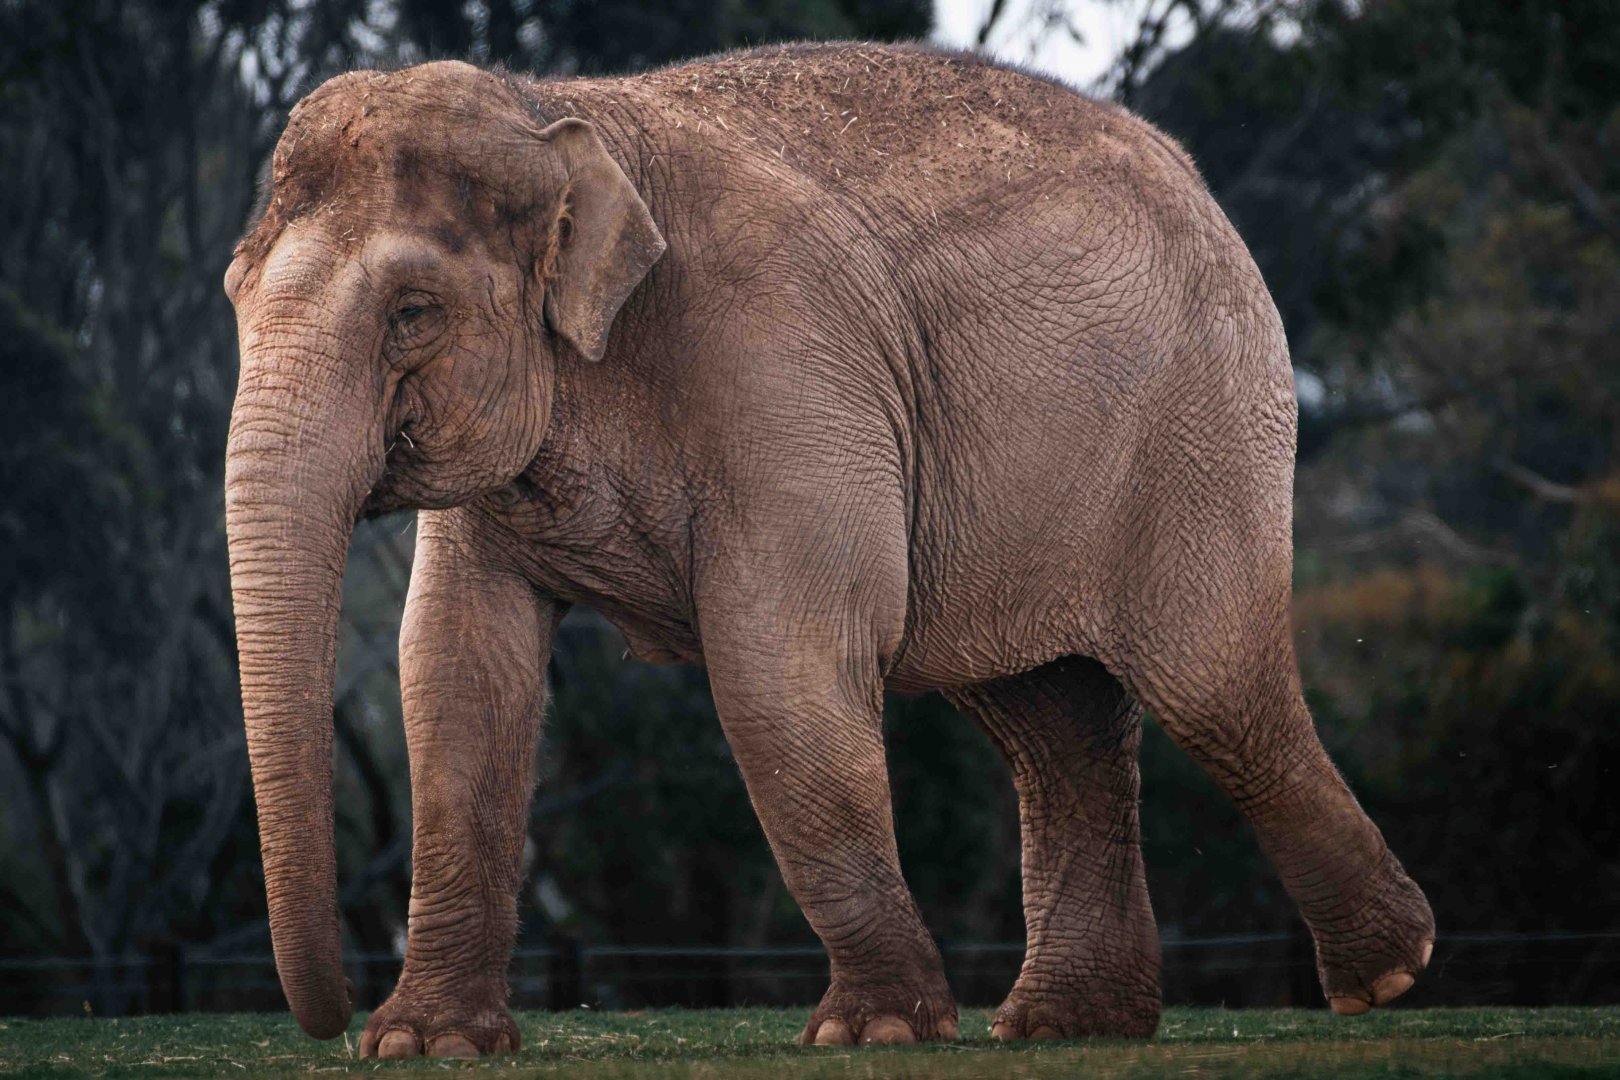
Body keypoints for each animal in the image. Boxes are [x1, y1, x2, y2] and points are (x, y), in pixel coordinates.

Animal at [222, 42, 1435, 1059]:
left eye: (412, 312)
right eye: (233, 292)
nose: (331, 1024)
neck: (560, 112)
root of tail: (1195, 180)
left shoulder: (782, 362)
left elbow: (777, 663)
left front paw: (877, 1034)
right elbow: (455, 671)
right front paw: (423, 1047)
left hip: (1201, 428)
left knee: (1213, 688)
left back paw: (1386, 976)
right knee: (1053, 719)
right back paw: (1067, 1027)